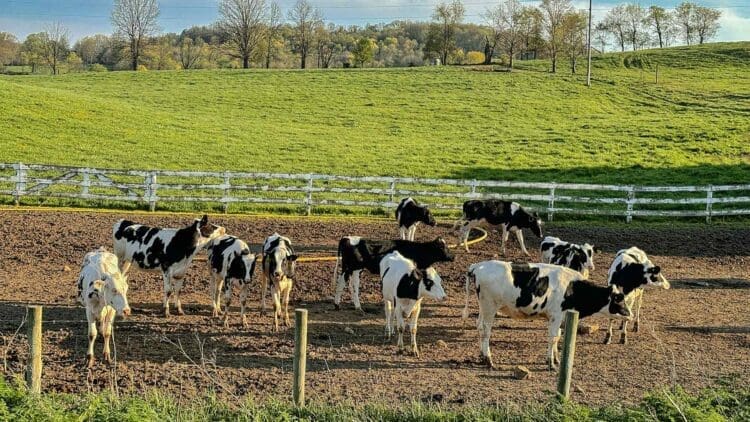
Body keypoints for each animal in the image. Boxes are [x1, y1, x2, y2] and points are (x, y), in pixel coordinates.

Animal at [463, 261, 631, 370]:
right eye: (619, 299)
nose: (630, 314)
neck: (573, 288)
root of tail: (477, 266)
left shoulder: (561, 317)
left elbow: (558, 336)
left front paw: (556, 359)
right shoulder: (556, 315)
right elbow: (553, 338)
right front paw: (550, 362)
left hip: (483, 307)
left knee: (479, 327)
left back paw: (481, 355)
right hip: (490, 307)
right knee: (486, 331)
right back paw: (488, 360)